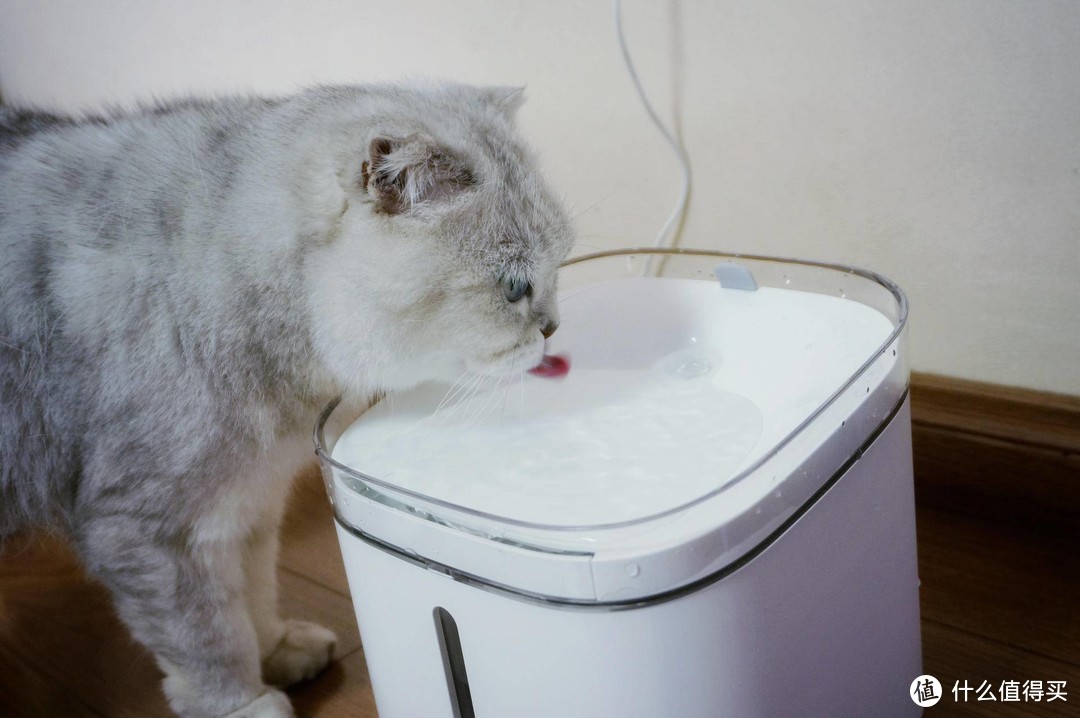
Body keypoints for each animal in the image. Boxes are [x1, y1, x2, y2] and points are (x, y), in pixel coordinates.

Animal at [0, 80, 578, 712]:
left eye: (558, 265)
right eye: (515, 287)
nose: (553, 328)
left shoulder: (246, 505)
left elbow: (253, 596)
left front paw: (277, 653)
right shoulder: (146, 527)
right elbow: (208, 638)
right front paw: (244, 704)